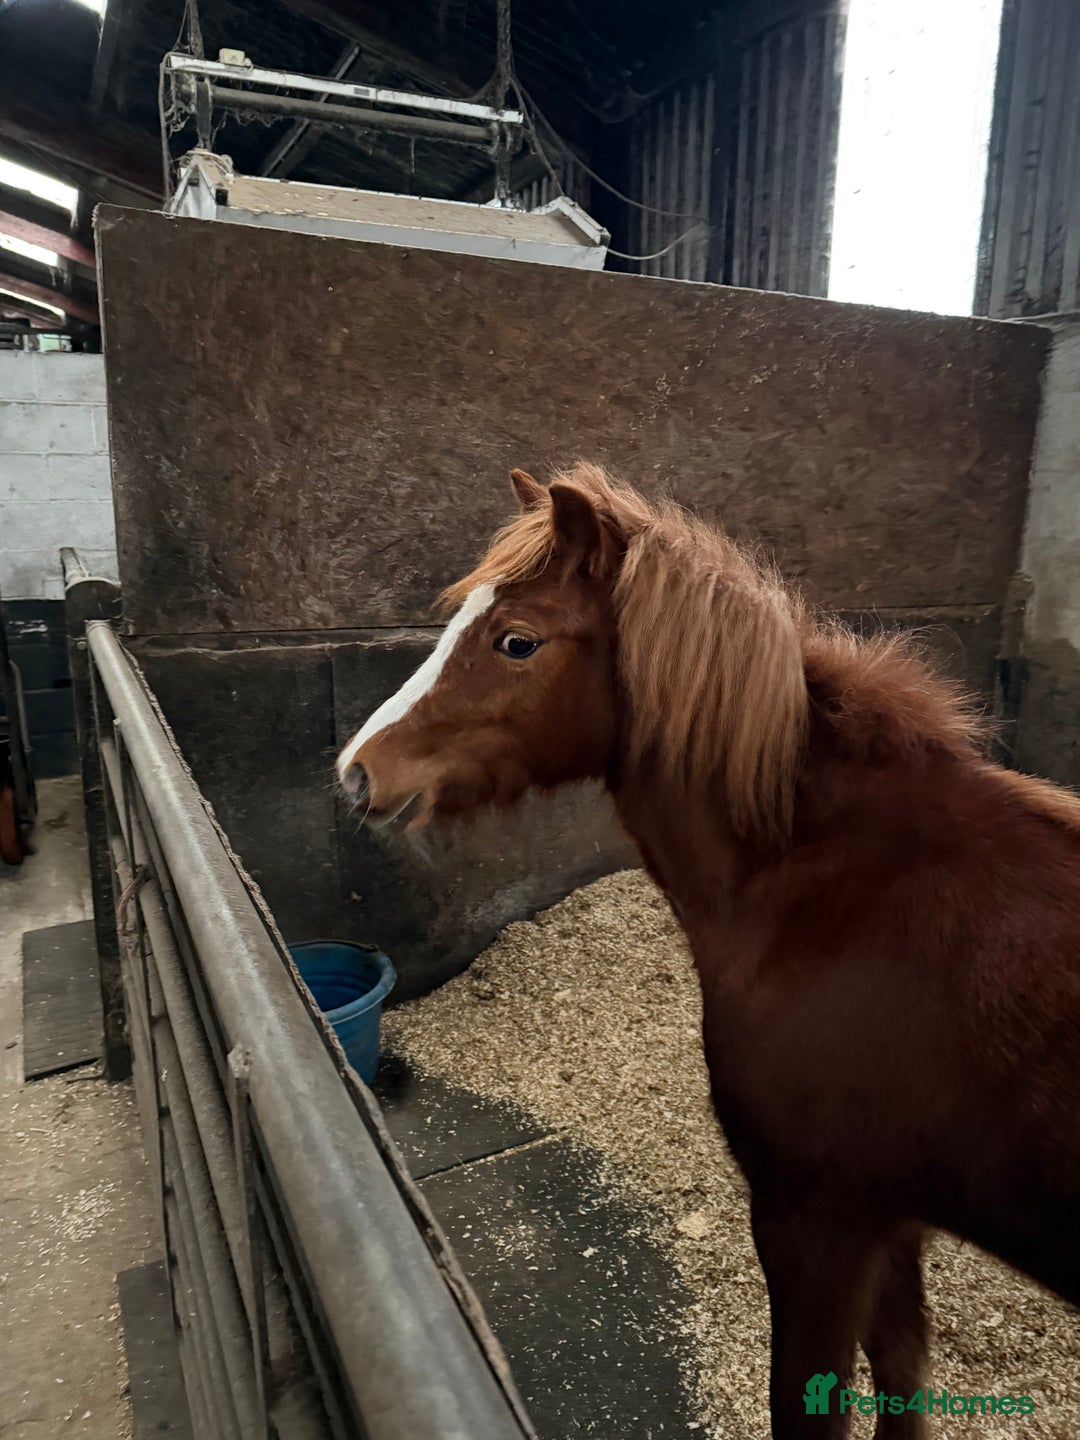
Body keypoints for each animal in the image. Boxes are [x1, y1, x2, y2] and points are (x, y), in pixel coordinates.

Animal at [336, 463, 1080, 1438]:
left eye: (516, 641)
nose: (357, 770)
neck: (834, 884)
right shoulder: (892, 1219)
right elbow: (904, 1371)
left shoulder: (817, 1218)